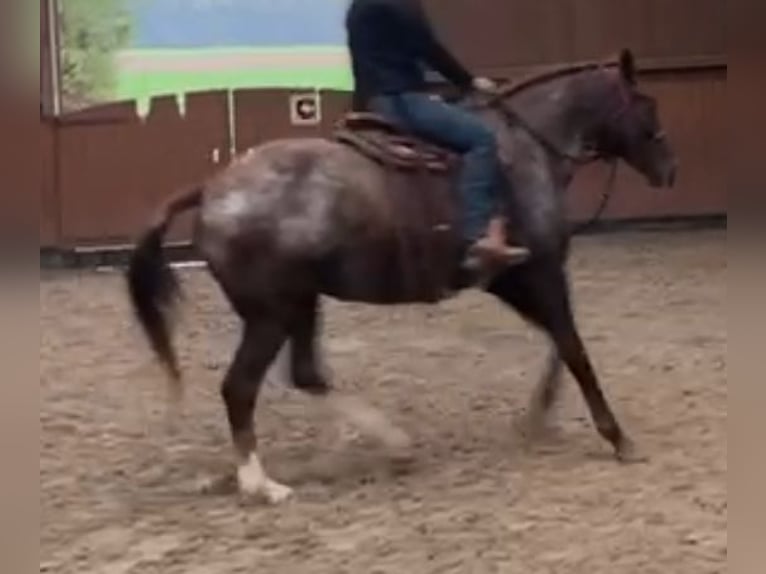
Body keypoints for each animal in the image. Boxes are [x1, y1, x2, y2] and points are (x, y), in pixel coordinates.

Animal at [126, 51, 680, 506]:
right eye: (647, 106)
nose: (669, 169)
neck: (524, 150)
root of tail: (211, 188)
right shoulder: (540, 272)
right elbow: (573, 348)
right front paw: (617, 437)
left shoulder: (511, 278)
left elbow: (557, 343)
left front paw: (538, 417)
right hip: (272, 314)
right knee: (239, 387)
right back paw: (261, 484)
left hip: (300, 303)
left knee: (306, 373)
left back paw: (391, 444)